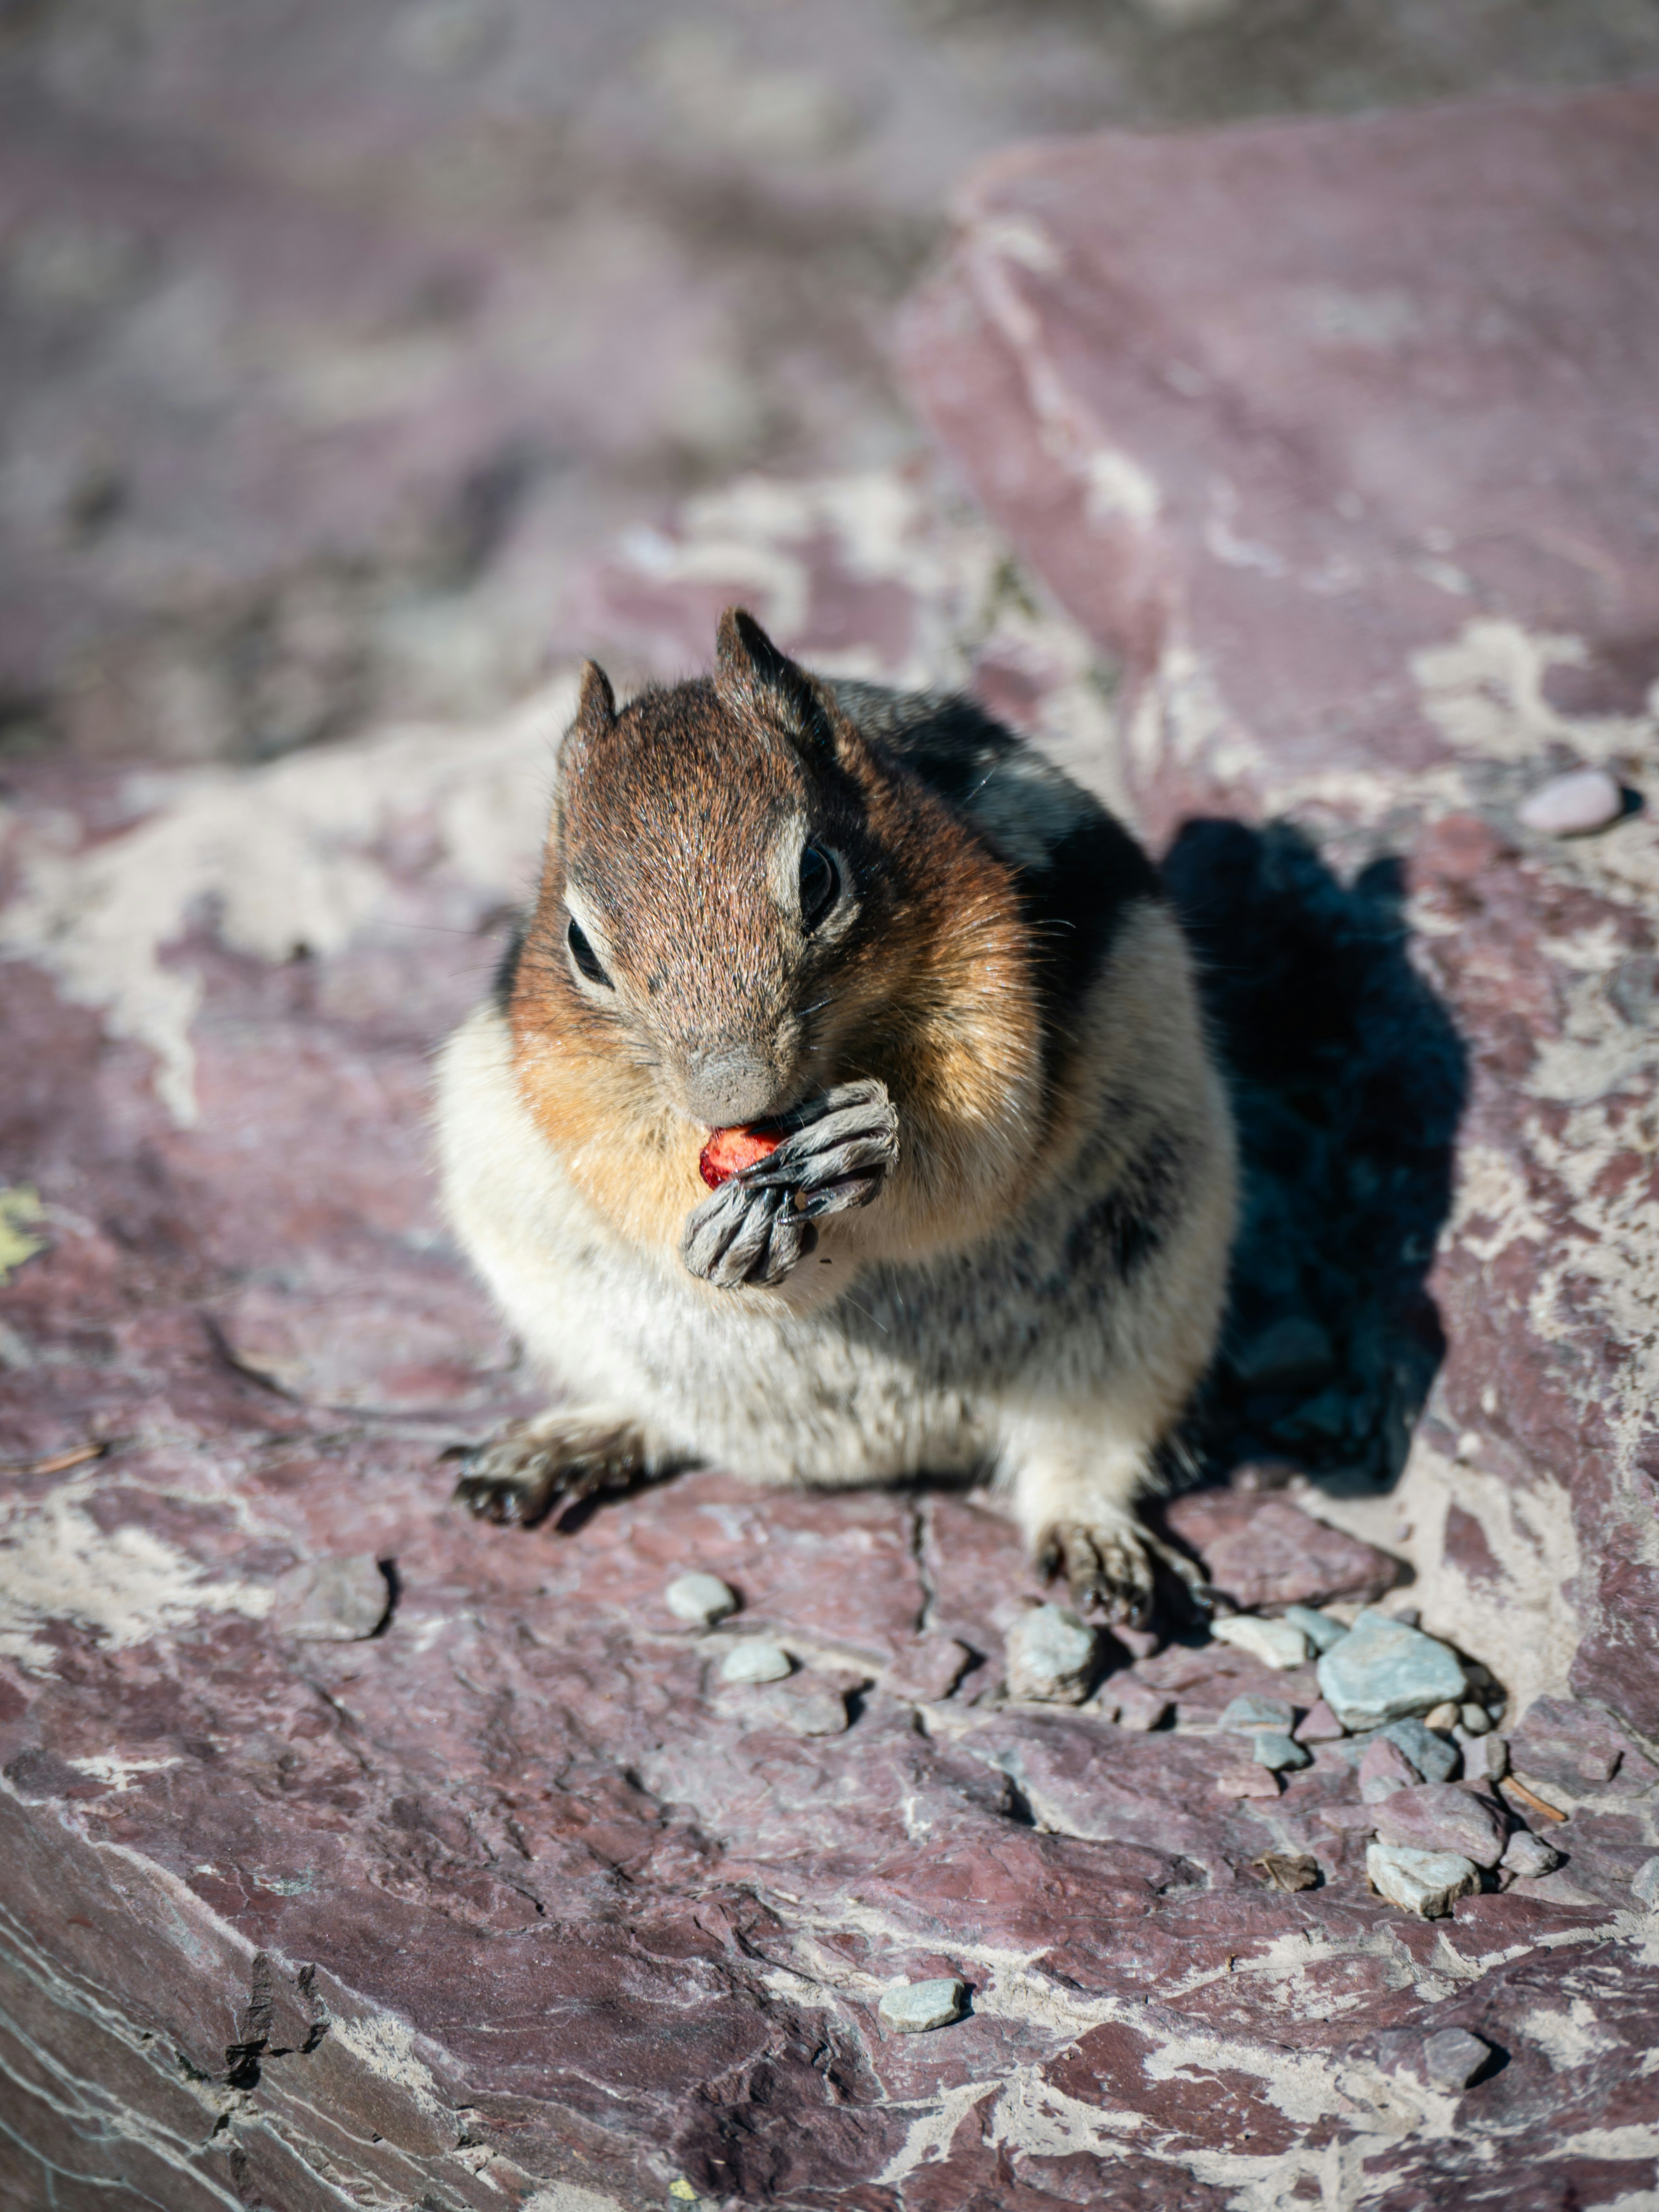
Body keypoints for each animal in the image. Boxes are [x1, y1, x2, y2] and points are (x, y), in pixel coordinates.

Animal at [435, 609, 1237, 1622]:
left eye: (818, 876)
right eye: (579, 946)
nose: (733, 1096)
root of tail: (878, 1454)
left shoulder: (992, 993)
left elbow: (976, 1159)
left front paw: (868, 1146)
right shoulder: (566, 1072)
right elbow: (625, 1168)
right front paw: (724, 1240)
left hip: (1145, 1303)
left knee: (1083, 1459)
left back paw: (1099, 1546)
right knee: (666, 1416)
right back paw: (556, 1448)